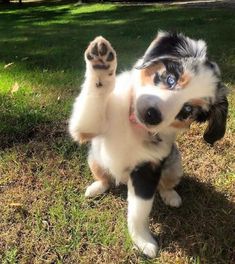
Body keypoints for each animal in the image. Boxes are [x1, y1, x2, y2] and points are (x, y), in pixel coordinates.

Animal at [69, 31, 228, 258]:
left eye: (187, 111)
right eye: (171, 79)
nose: (152, 115)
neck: (133, 123)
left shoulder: (147, 168)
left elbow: (138, 211)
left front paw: (143, 241)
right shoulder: (86, 128)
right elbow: (93, 100)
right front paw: (100, 64)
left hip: (174, 163)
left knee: (166, 183)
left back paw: (171, 196)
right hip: (94, 158)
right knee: (105, 177)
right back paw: (96, 187)